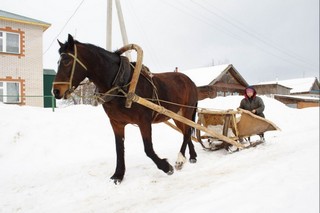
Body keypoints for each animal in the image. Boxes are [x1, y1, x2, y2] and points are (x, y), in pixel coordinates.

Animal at [52, 34, 198, 184]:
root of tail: (190, 81)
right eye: (58, 61)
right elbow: (119, 148)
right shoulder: (116, 122)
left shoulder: (144, 121)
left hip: (186, 111)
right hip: (177, 115)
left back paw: (180, 159)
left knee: (187, 132)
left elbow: (148, 149)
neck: (121, 85)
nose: (56, 91)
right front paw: (118, 175)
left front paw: (166, 167)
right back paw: (192, 156)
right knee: (186, 131)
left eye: (67, 61)